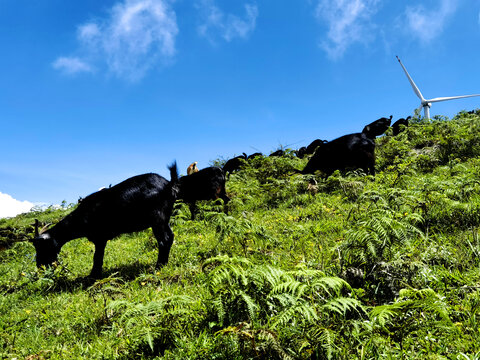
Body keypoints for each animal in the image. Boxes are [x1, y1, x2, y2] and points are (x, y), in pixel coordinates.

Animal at [31, 163, 180, 278]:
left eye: (43, 247)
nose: (40, 266)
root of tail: (168, 184)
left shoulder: (100, 237)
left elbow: (97, 257)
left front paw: (93, 276)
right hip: (164, 219)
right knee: (170, 237)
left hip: (157, 218)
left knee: (164, 240)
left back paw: (158, 267)